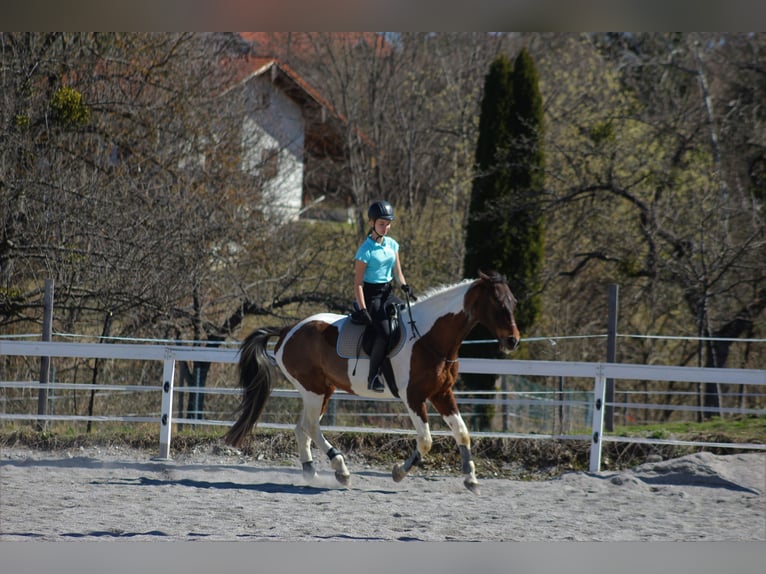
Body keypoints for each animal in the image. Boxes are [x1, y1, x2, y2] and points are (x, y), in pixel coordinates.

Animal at [222, 272, 520, 496]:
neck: (428, 337)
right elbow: (425, 441)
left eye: (513, 302)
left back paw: (310, 470)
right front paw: (398, 472)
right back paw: (341, 470)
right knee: (311, 427)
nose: (513, 341)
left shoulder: (442, 394)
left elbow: (462, 433)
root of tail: (288, 330)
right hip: (314, 390)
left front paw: (471, 479)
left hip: (321, 391)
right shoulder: (414, 398)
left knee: (302, 427)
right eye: (497, 303)